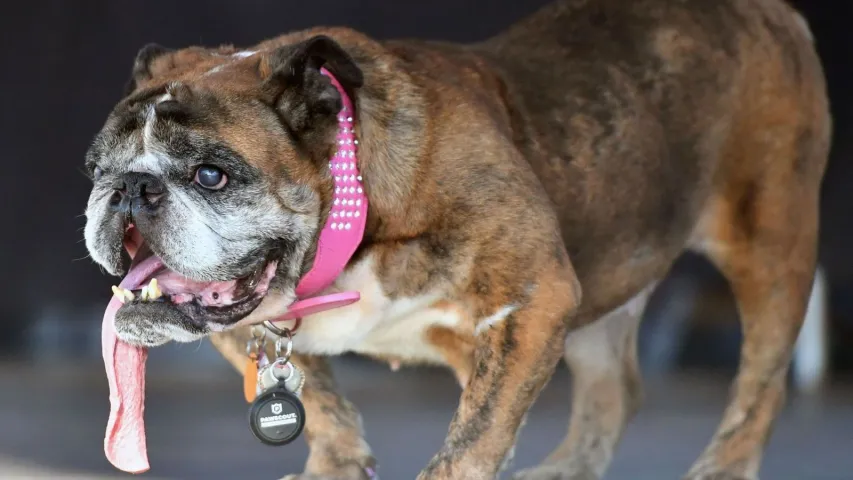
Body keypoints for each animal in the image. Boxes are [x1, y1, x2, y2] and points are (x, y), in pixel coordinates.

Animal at [83, 0, 828, 476]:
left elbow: (471, 440)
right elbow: (320, 405)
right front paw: (337, 465)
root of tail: (768, 11)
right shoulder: (249, 333)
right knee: (615, 387)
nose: (130, 188)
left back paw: (722, 466)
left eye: (210, 174)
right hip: (607, 272)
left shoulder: (534, 302)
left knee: (758, 387)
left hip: (769, 250)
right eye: (95, 169)